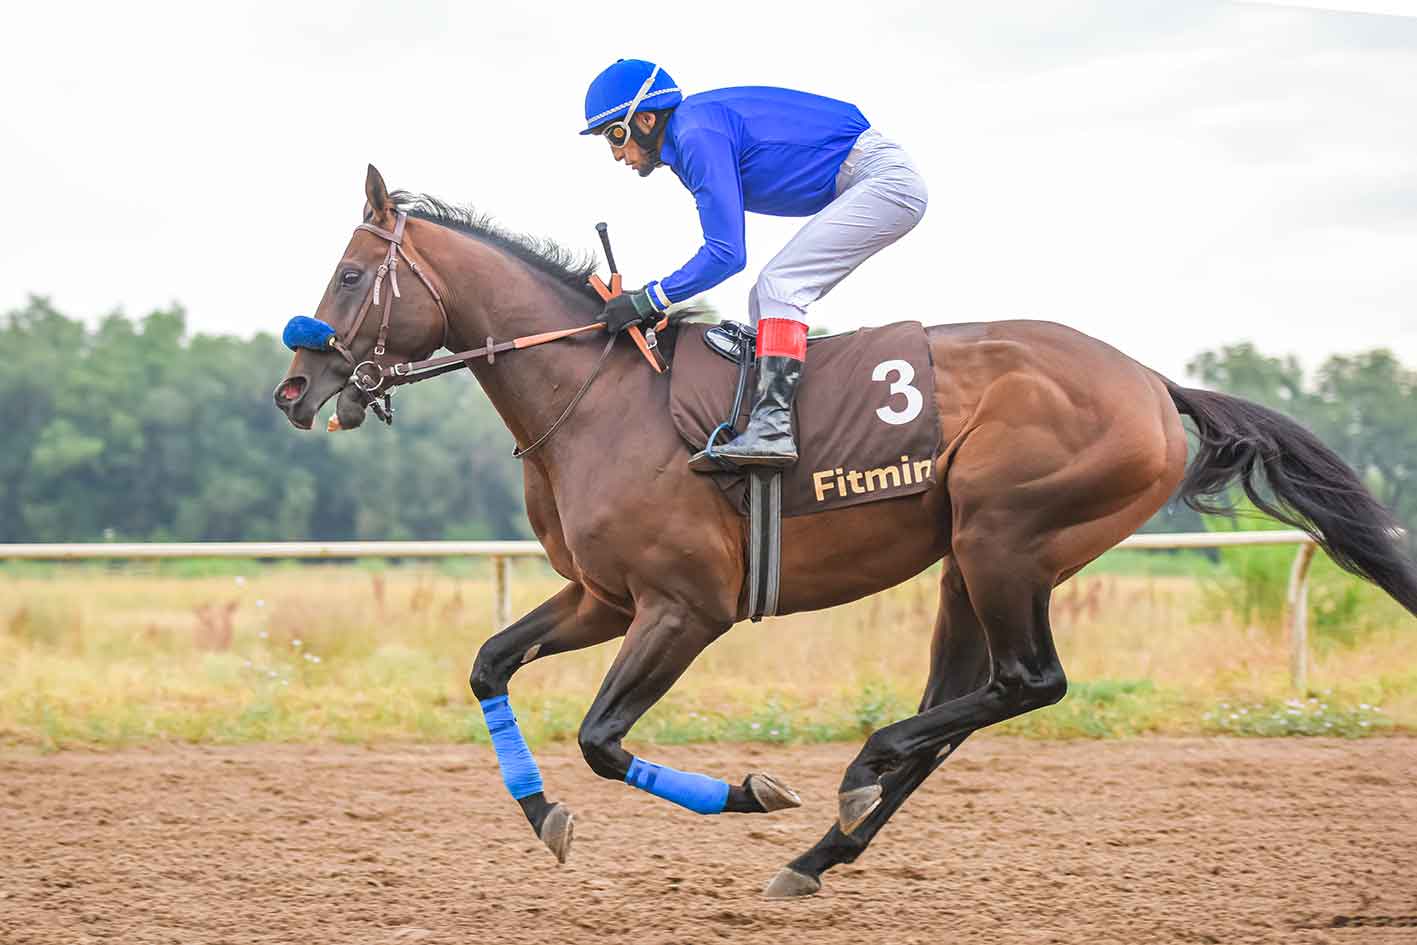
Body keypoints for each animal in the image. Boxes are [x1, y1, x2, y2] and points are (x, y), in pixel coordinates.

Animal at [274, 165, 1417, 899]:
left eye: (346, 275)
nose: (294, 388)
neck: (597, 398)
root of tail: (1149, 380)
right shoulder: (602, 597)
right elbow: (487, 663)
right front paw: (541, 816)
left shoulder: (685, 607)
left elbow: (600, 738)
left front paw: (749, 789)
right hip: (966, 564)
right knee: (968, 703)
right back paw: (826, 847)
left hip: (1006, 537)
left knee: (1027, 683)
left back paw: (859, 771)